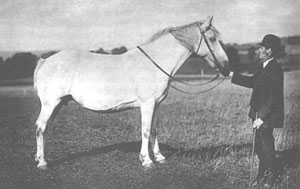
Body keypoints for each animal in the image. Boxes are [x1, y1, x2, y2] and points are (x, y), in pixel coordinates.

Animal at [33, 16, 230, 170]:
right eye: (212, 38)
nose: (226, 65)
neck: (155, 62)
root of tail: (44, 61)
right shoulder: (147, 103)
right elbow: (145, 130)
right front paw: (147, 161)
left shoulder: (157, 104)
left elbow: (155, 130)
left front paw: (159, 157)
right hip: (51, 103)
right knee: (41, 128)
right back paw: (42, 163)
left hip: (58, 104)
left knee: (44, 127)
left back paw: (38, 157)